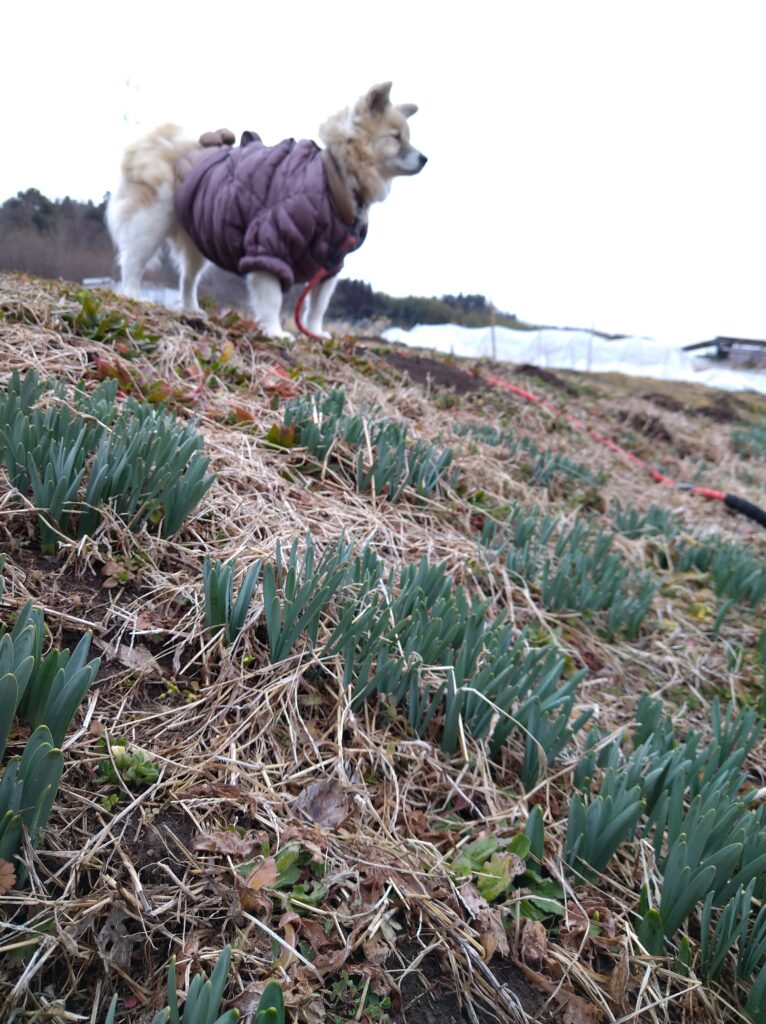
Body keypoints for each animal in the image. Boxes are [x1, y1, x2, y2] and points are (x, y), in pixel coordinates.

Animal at [105, 81, 428, 335]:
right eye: (396, 137)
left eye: (408, 138)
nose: (425, 158)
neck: (334, 177)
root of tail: (155, 137)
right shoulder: (270, 245)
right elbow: (272, 298)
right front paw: (275, 332)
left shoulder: (330, 265)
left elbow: (317, 306)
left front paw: (314, 333)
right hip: (151, 222)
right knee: (133, 261)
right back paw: (134, 295)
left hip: (198, 236)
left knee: (188, 278)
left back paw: (191, 308)